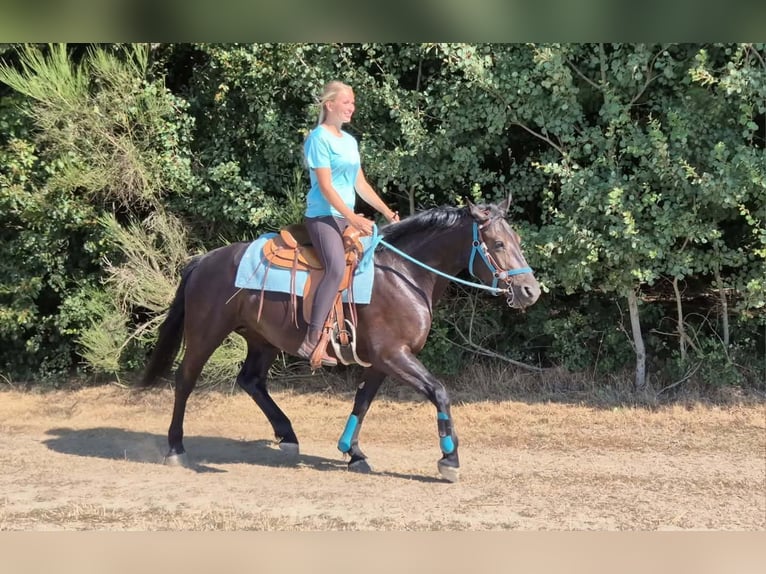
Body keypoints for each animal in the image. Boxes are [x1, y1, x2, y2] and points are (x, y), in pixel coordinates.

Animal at [139, 197, 541, 482]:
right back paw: (176, 448)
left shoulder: (382, 359)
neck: (404, 275)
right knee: (185, 380)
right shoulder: (395, 355)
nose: (530, 290)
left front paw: (353, 452)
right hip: (206, 332)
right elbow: (438, 392)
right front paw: (449, 458)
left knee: (251, 380)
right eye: (498, 243)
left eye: (517, 240)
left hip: (262, 340)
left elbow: (362, 402)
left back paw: (287, 436)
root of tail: (204, 260)